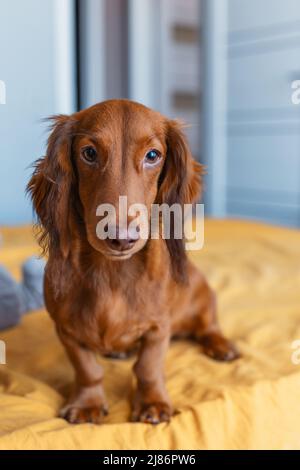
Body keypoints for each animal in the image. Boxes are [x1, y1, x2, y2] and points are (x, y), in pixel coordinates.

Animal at [28, 99, 239, 426]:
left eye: (153, 155)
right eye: (89, 153)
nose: (121, 237)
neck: (111, 272)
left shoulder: (158, 328)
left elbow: (148, 367)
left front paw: (153, 402)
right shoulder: (66, 330)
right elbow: (88, 369)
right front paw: (87, 403)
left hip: (204, 297)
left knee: (208, 325)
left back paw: (221, 345)